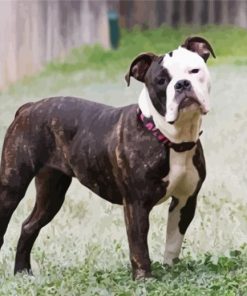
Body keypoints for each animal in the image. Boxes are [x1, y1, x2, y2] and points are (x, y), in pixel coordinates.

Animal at [0, 35, 215, 278]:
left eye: (194, 70)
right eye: (161, 81)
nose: (182, 84)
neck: (169, 138)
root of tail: (28, 107)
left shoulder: (185, 201)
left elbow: (173, 241)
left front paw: (171, 269)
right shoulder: (136, 205)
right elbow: (139, 246)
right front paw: (144, 279)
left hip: (51, 193)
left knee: (29, 226)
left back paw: (22, 273)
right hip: (12, 188)